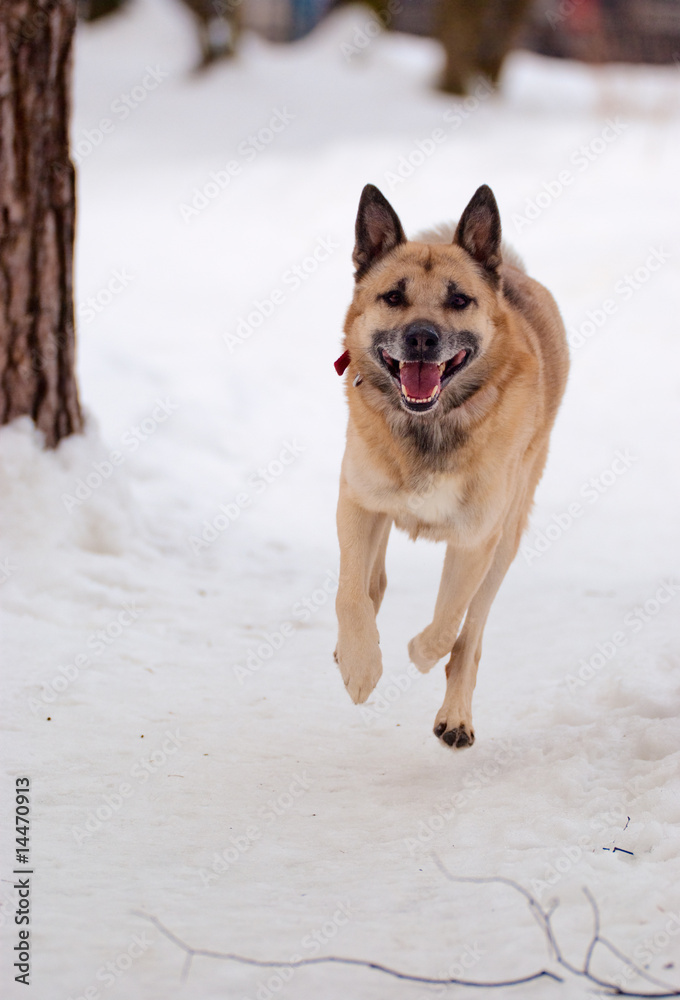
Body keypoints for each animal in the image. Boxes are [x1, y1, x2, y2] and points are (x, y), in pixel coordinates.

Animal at [334, 184, 568, 748]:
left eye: (459, 299)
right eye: (393, 297)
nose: (421, 337)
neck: (430, 425)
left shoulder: (475, 540)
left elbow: (446, 626)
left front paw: (416, 654)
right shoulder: (356, 501)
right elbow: (351, 594)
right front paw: (359, 665)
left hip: (506, 541)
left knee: (470, 635)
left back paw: (455, 715)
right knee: (373, 583)